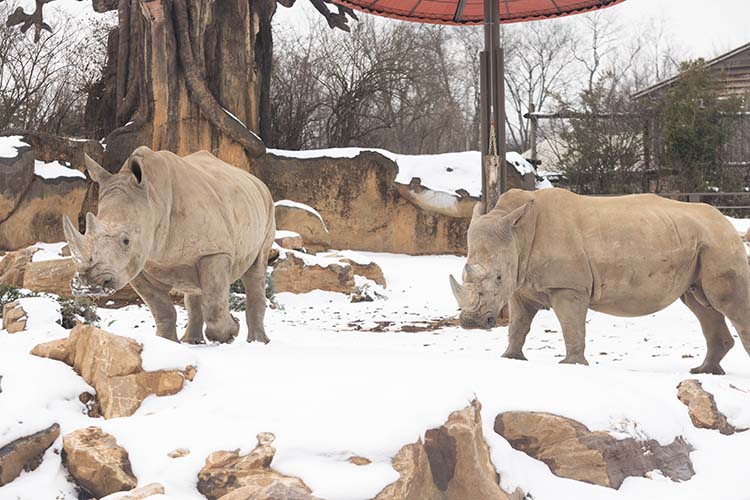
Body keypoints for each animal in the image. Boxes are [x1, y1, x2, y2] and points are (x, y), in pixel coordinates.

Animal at [62, 146, 275, 344]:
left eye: (126, 240)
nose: (88, 285)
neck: (152, 198)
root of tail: (257, 182)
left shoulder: (215, 251)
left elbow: (214, 306)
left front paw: (231, 332)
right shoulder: (138, 264)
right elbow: (162, 310)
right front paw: (168, 344)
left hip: (267, 208)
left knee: (255, 271)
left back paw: (258, 342)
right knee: (194, 288)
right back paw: (191, 341)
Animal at [450, 188, 750, 375]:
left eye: (498, 277)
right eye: (462, 275)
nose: (472, 323)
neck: (518, 232)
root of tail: (726, 221)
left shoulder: (568, 287)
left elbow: (571, 326)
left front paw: (571, 365)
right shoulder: (521, 286)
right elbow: (518, 326)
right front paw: (510, 358)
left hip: (720, 241)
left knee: (726, 303)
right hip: (701, 242)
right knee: (701, 305)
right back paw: (705, 372)